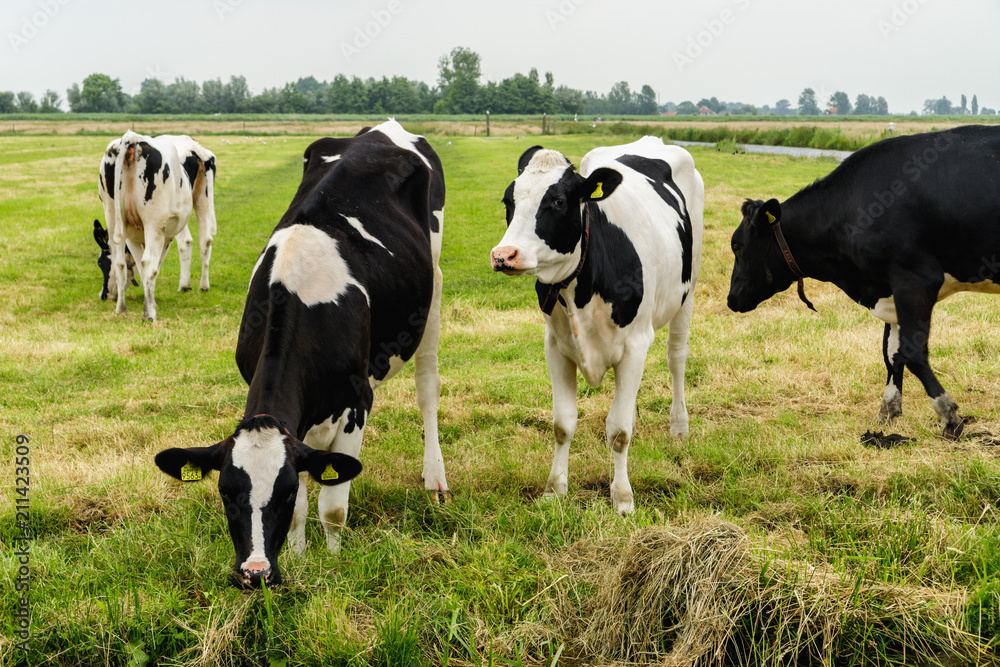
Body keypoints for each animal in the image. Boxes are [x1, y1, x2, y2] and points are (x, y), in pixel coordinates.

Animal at [98, 132, 218, 320]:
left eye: (101, 263)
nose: (104, 295)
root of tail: (132, 138)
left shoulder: (138, 236)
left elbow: (140, 267)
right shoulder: (160, 233)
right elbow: (150, 266)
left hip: (118, 218)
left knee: (122, 263)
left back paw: (126, 310)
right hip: (189, 204)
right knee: (201, 240)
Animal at [154, 121, 448, 588]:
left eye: (285, 490)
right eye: (225, 491)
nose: (254, 572)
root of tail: (383, 128)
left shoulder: (356, 404)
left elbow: (333, 507)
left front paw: (333, 559)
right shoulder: (299, 426)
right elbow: (304, 508)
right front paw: (297, 555)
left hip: (433, 280)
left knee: (428, 389)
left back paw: (435, 479)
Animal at [490, 134, 704, 512]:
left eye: (558, 201)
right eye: (508, 200)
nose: (504, 255)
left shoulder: (635, 344)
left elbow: (618, 431)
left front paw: (622, 497)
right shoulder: (556, 346)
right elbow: (563, 424)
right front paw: (554, 489)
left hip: (688, 289)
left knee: (677, 357)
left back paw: (679, 427)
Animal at [728, 124, 1000, 438]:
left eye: (738, 246)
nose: (731, 299)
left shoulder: (914, 279)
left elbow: (912, 353)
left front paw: (949, 416)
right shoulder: (889, 290)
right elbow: (891, 353)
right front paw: (887, 412)